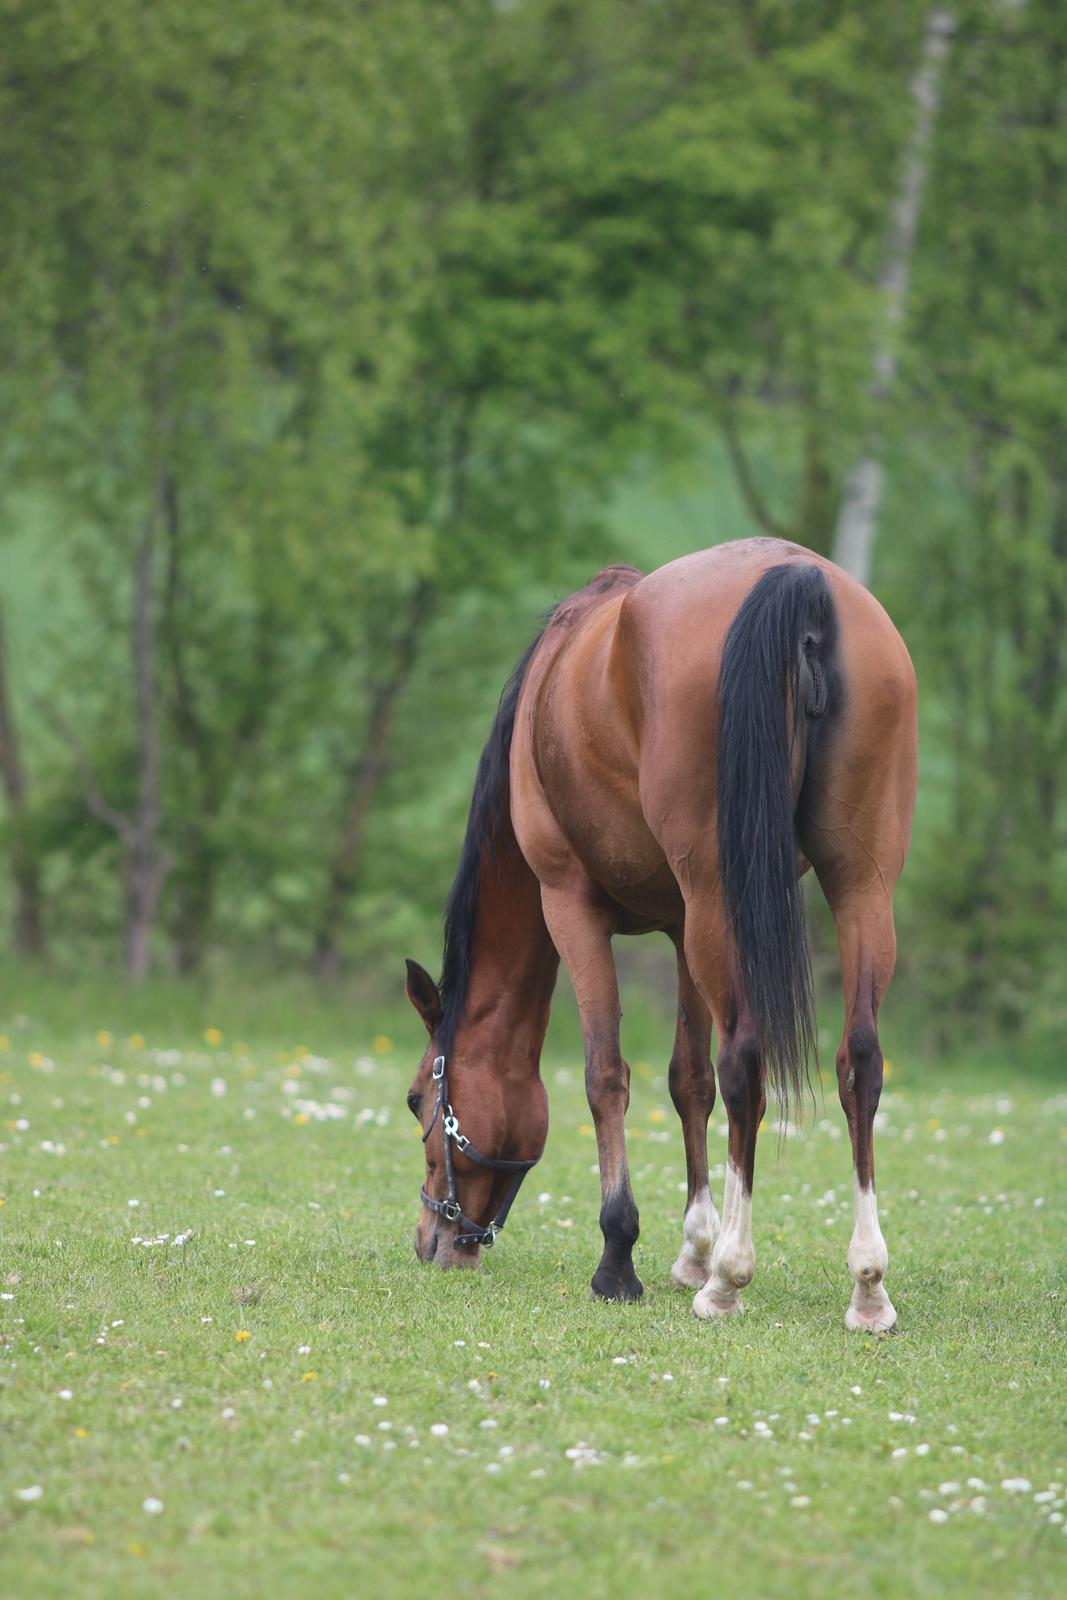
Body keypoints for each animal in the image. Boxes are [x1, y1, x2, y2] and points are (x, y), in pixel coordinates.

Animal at [406, 544, 921, 1331]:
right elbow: (688, 1082)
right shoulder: (683, 926)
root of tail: (797, 578)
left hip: (717, 890)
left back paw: (730, 1280)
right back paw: (866, 1285)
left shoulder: (570, 902)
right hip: (857, 882)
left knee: (746, 1062)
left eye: (416, 1102)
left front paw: (621, 1258)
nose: (432, 1239)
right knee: (857, 1059)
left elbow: (605, 1075)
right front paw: (692, 1251)